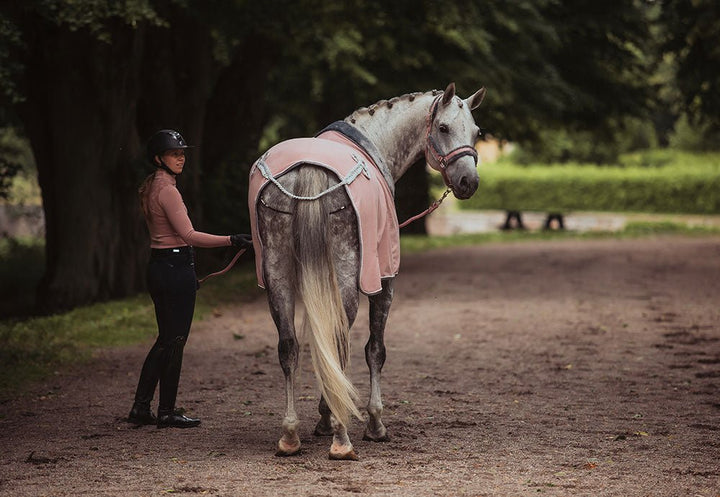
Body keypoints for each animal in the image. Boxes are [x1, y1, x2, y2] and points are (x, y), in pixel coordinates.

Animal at [248, 82, 486, 460]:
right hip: (346, 277)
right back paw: (342, 439)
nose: (468, 182)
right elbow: (375, 349)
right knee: (339, 343)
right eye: (444, 128)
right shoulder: (384, 281)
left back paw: (290, 434)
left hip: (276, 275)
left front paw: (323, 416)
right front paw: (374, 422)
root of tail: (308, 169)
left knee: (290, 347)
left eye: (477, 132)